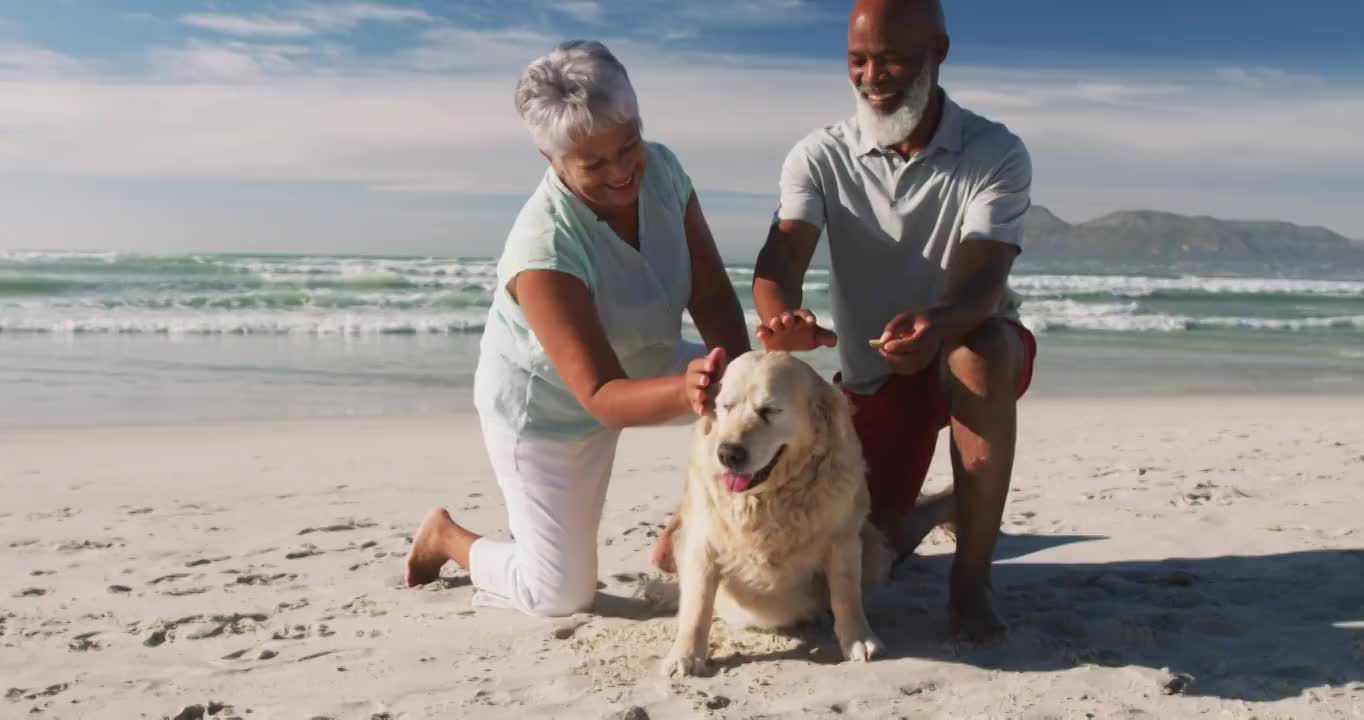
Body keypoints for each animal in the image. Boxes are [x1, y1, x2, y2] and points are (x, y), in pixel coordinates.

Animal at [662, 349, 894, 676]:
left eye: (770, 410)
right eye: (726, 406)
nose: (728, 454)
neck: (768, 498)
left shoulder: (844, 539)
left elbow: (846, 593)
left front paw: (859, 638)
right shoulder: (701, 543)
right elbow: (697, 604)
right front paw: (684, 655)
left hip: (872, 543)